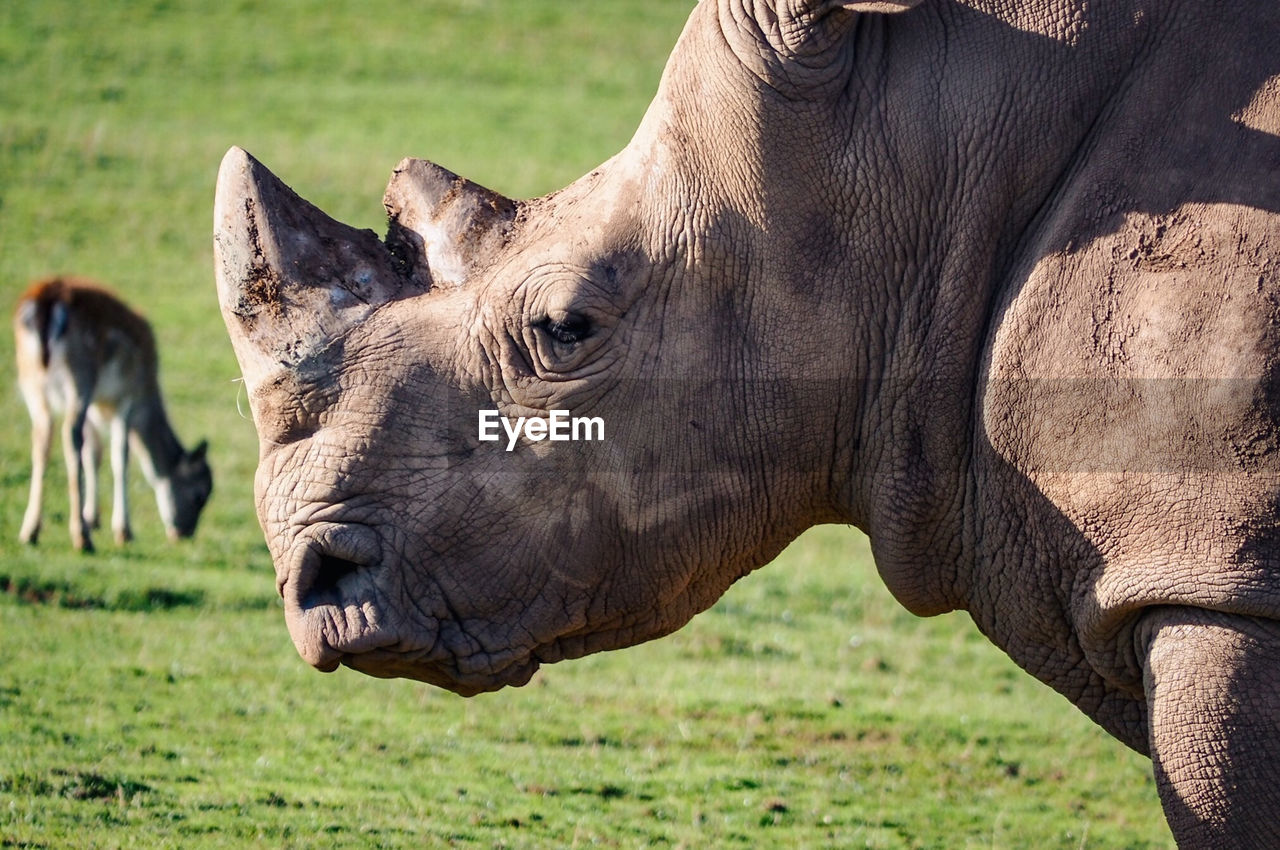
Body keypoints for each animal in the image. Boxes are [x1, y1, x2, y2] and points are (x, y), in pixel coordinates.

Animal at [14, 277, 212, 550]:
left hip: (30, 379)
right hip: (80, 373)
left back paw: (30, 532)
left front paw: (93, 518)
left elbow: (94, 453)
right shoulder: (127, 397)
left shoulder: (97, 405)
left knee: (42, 438)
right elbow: (120, 456)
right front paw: (123, 531)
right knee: (70, 435)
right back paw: (81, 537)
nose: (185, 533)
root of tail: (46, 298)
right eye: (199, 495)